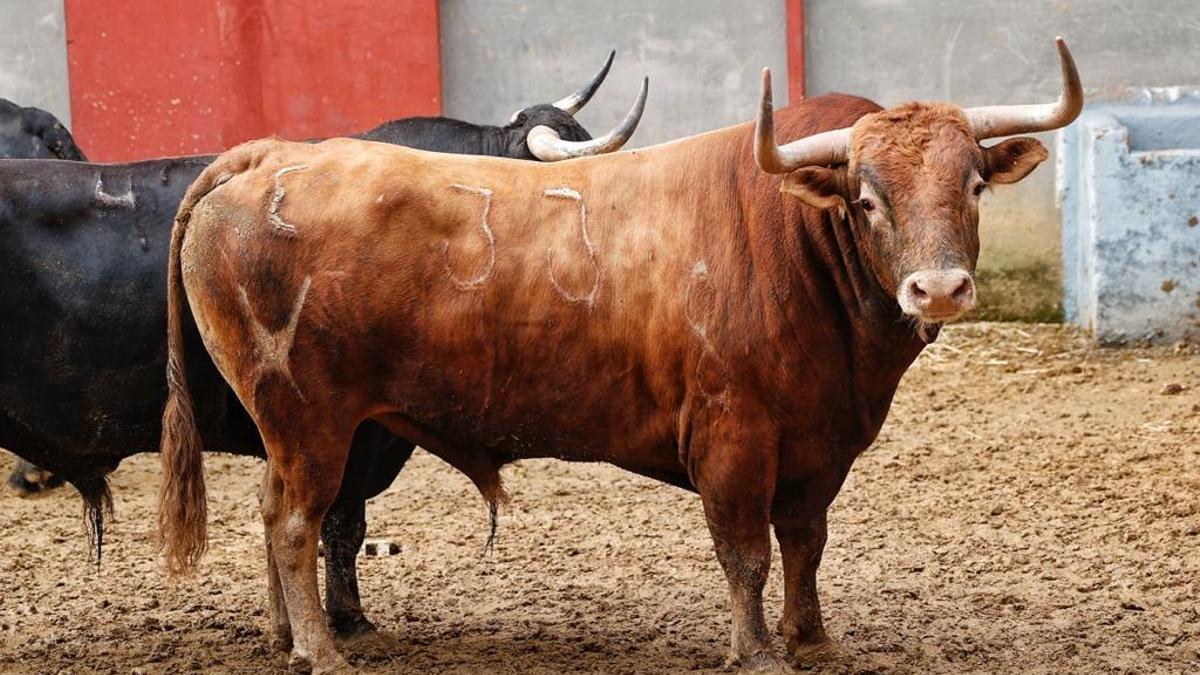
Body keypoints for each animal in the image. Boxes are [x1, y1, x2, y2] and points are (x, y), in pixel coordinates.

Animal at [157, 39, 1080, 667]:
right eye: (867, 197)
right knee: (295, 523)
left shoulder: (819, 447)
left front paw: (812, 638)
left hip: (294, 429)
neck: (793, 243)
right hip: (310, 420)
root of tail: (273, 154)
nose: (939, 289)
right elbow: (744, 551)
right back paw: (322, 649)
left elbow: (804, 542)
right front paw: (758, 650)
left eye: (972, 183)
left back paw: (286, 635)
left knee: (275, 513)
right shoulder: (733, 438)